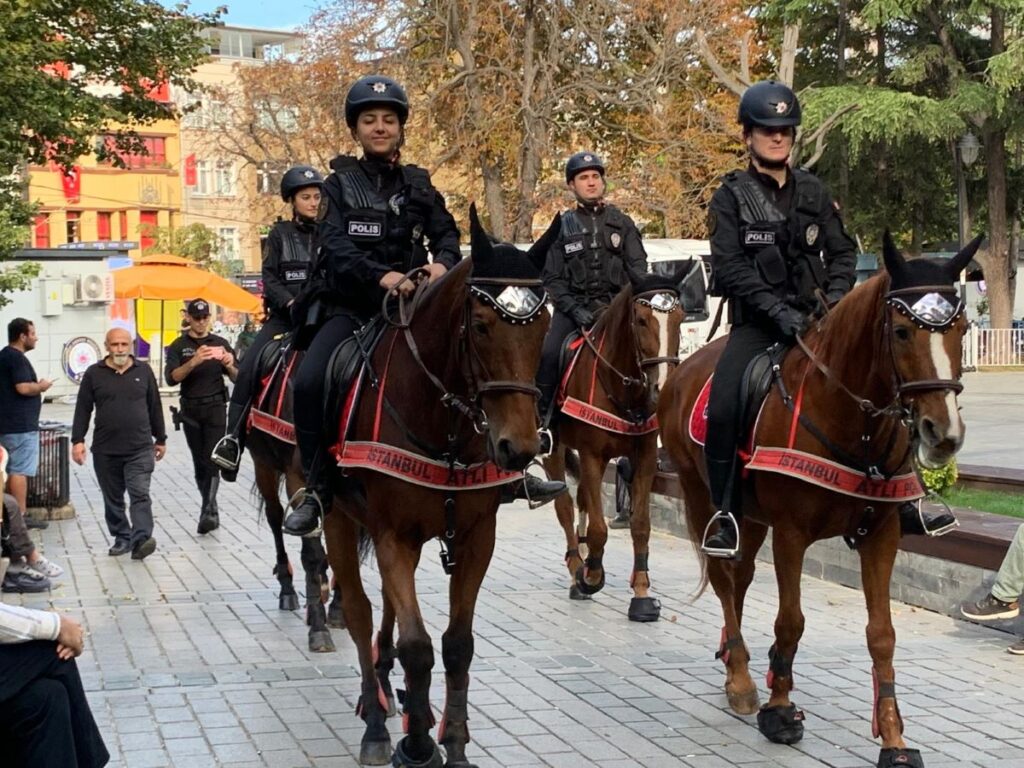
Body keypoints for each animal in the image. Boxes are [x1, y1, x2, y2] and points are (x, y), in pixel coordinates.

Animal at [246, 348, 344, 655]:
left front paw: (338, 606)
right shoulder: (297, 480)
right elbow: (312, 555)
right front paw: (319, 628)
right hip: (263, 465)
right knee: (275, 517)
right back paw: (288, 590)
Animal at [321, 205, 557, 768]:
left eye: (543, 325)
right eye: (481, 325)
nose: (518, 447)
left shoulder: (475, 538)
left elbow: (456, 644)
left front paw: (452, 739)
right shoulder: (393, 537)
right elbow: (418, 646)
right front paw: (417, 743)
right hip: (337, 518)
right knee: (360, 612)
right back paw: (377, 720)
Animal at [544, 268, 688, 618]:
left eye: (680, 317)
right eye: (641, 320)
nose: (662, 388)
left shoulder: (645, 456)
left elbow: (640, 524)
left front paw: (642, 592)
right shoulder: (593, 455)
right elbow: (599, 527)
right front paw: (591, 575)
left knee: (582, 498)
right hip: (555, 449)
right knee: (565, 505)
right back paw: (577, 568)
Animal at [659, 236, 978, 768]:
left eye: (962, 327)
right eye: (901, 331)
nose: (943, 433)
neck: (853, 422)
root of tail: (683, 370)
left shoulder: (882, 535)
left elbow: (882, 635)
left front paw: (893, 738)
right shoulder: (791, 534)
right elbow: (791, 621)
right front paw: (779, 710)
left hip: (751, 517)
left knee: (741, 578)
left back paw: (734, 659)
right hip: (701, 496)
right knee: (724, 580)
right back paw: (741, 678)